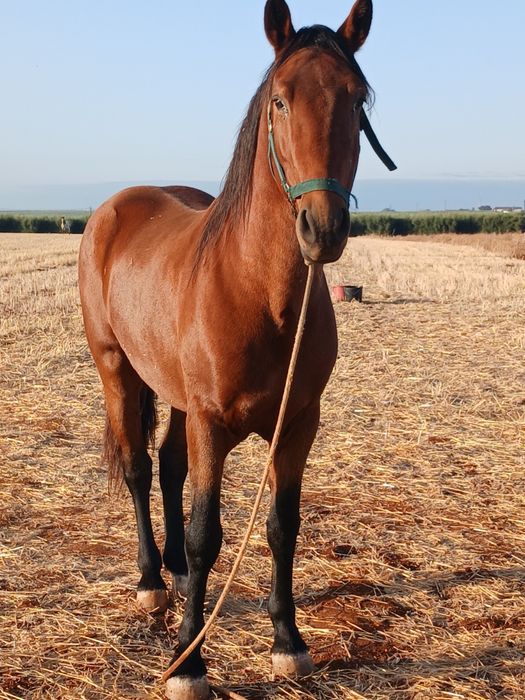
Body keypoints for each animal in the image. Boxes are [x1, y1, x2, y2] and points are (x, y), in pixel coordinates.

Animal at [78, 1, 394, 697]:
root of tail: (116, 206)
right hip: (118, 371)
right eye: (280, 99)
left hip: (175, 397)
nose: (322, 229)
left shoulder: (297, 425)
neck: (259, 293)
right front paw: (188, 662)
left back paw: (170, 574)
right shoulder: (212, 424)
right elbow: (207, 536)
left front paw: (288, 642)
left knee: (169, 466)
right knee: (140, 470)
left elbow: (281, 527)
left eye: (357, 99)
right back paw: (152, 581)